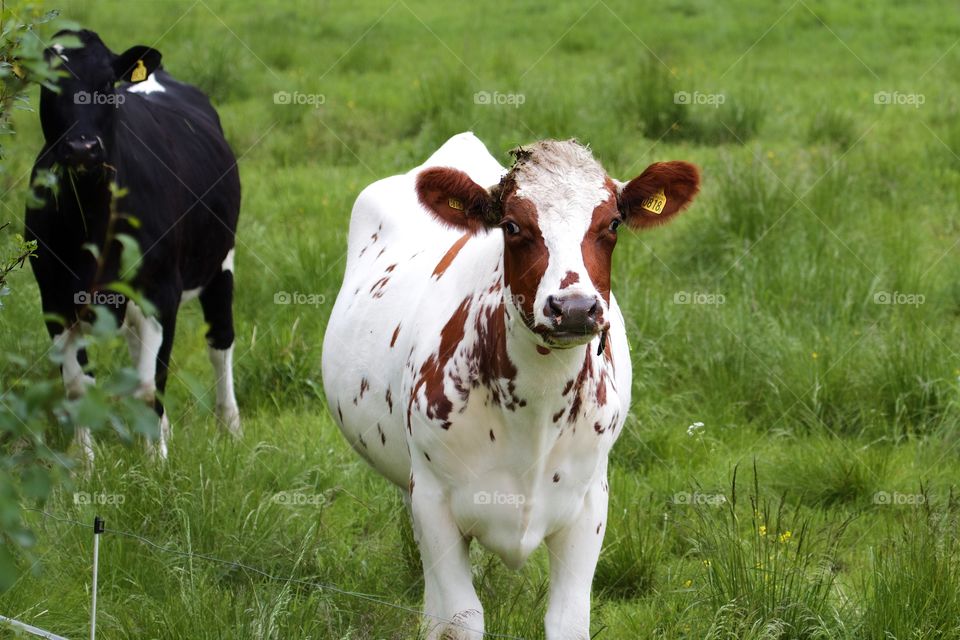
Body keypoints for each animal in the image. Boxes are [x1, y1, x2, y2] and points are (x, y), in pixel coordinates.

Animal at [27, 31, 244, 460]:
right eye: (49, 83)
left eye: (107, 84)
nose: (82, 148)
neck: (92, 217)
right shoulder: (54, 296)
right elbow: (77, 386)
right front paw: (84, 464)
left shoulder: (161, 290)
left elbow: (150, 386)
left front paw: (156, 464)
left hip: (220, 262)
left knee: (219, 343)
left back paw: (230, 428)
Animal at [322, 132, 696, 636]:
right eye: (513, 226)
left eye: (613, 223)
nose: (573, 308)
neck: (535, 409)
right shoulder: (434, 500)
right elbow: (462, 617)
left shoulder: (589, 504)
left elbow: (567, 621)